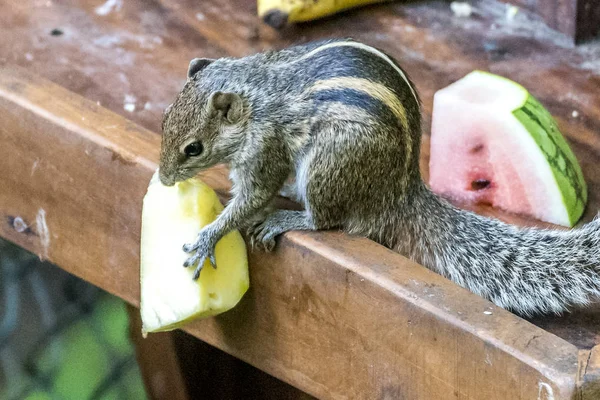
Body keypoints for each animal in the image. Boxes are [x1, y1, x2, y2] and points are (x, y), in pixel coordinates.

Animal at [158, 39, 600, 318]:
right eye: (164, 121)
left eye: (194, 148)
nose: (163, 179)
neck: (254, 95)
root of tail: (399, 192)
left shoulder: (265, 148)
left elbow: (253, 196)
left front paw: (209, 236)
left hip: (329, 164)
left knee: (326, 219)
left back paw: (291, 217)